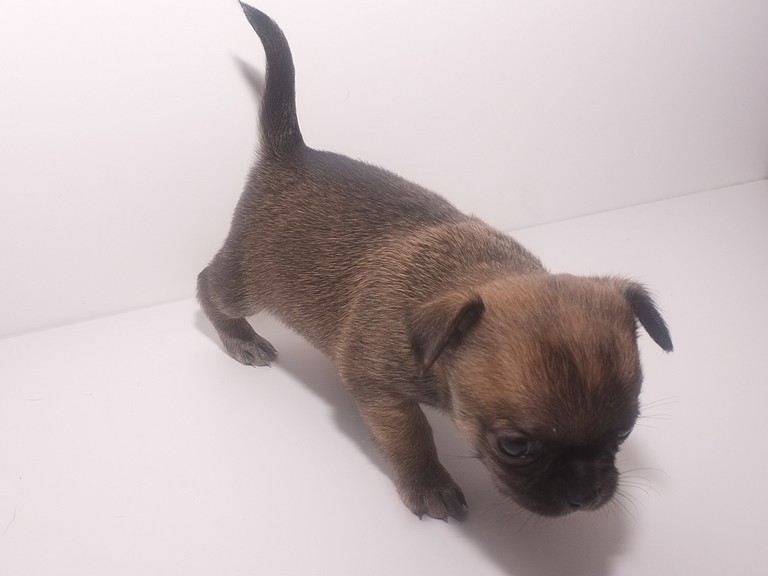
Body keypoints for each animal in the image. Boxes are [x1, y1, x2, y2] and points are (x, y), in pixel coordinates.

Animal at [198, 3, 673, 521]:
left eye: (624, 430)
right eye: (514, 446)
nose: (584, 495)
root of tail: (291, 153)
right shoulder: (380, 392)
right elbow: (412, 438)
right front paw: (429, 484)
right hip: (247, 279)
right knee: (209, 285)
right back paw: (240, 338)